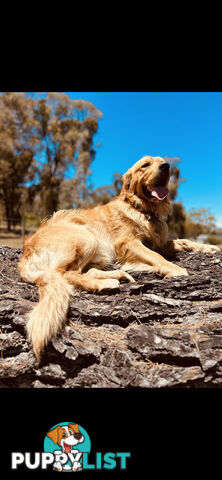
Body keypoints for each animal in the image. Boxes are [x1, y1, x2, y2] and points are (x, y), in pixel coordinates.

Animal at [18, 158, 219, 360]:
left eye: (162, 161)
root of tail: (26, 252)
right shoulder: (128, 242)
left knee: (84, 272)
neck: (143, 209)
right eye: (145, 165)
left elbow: (184, 241)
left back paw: (117, 275)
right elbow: (156, 256)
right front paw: (175, 269)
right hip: (86, 236)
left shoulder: (158, 242)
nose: (166, 166)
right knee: (67, 274)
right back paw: (105, 283)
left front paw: (208, 248)